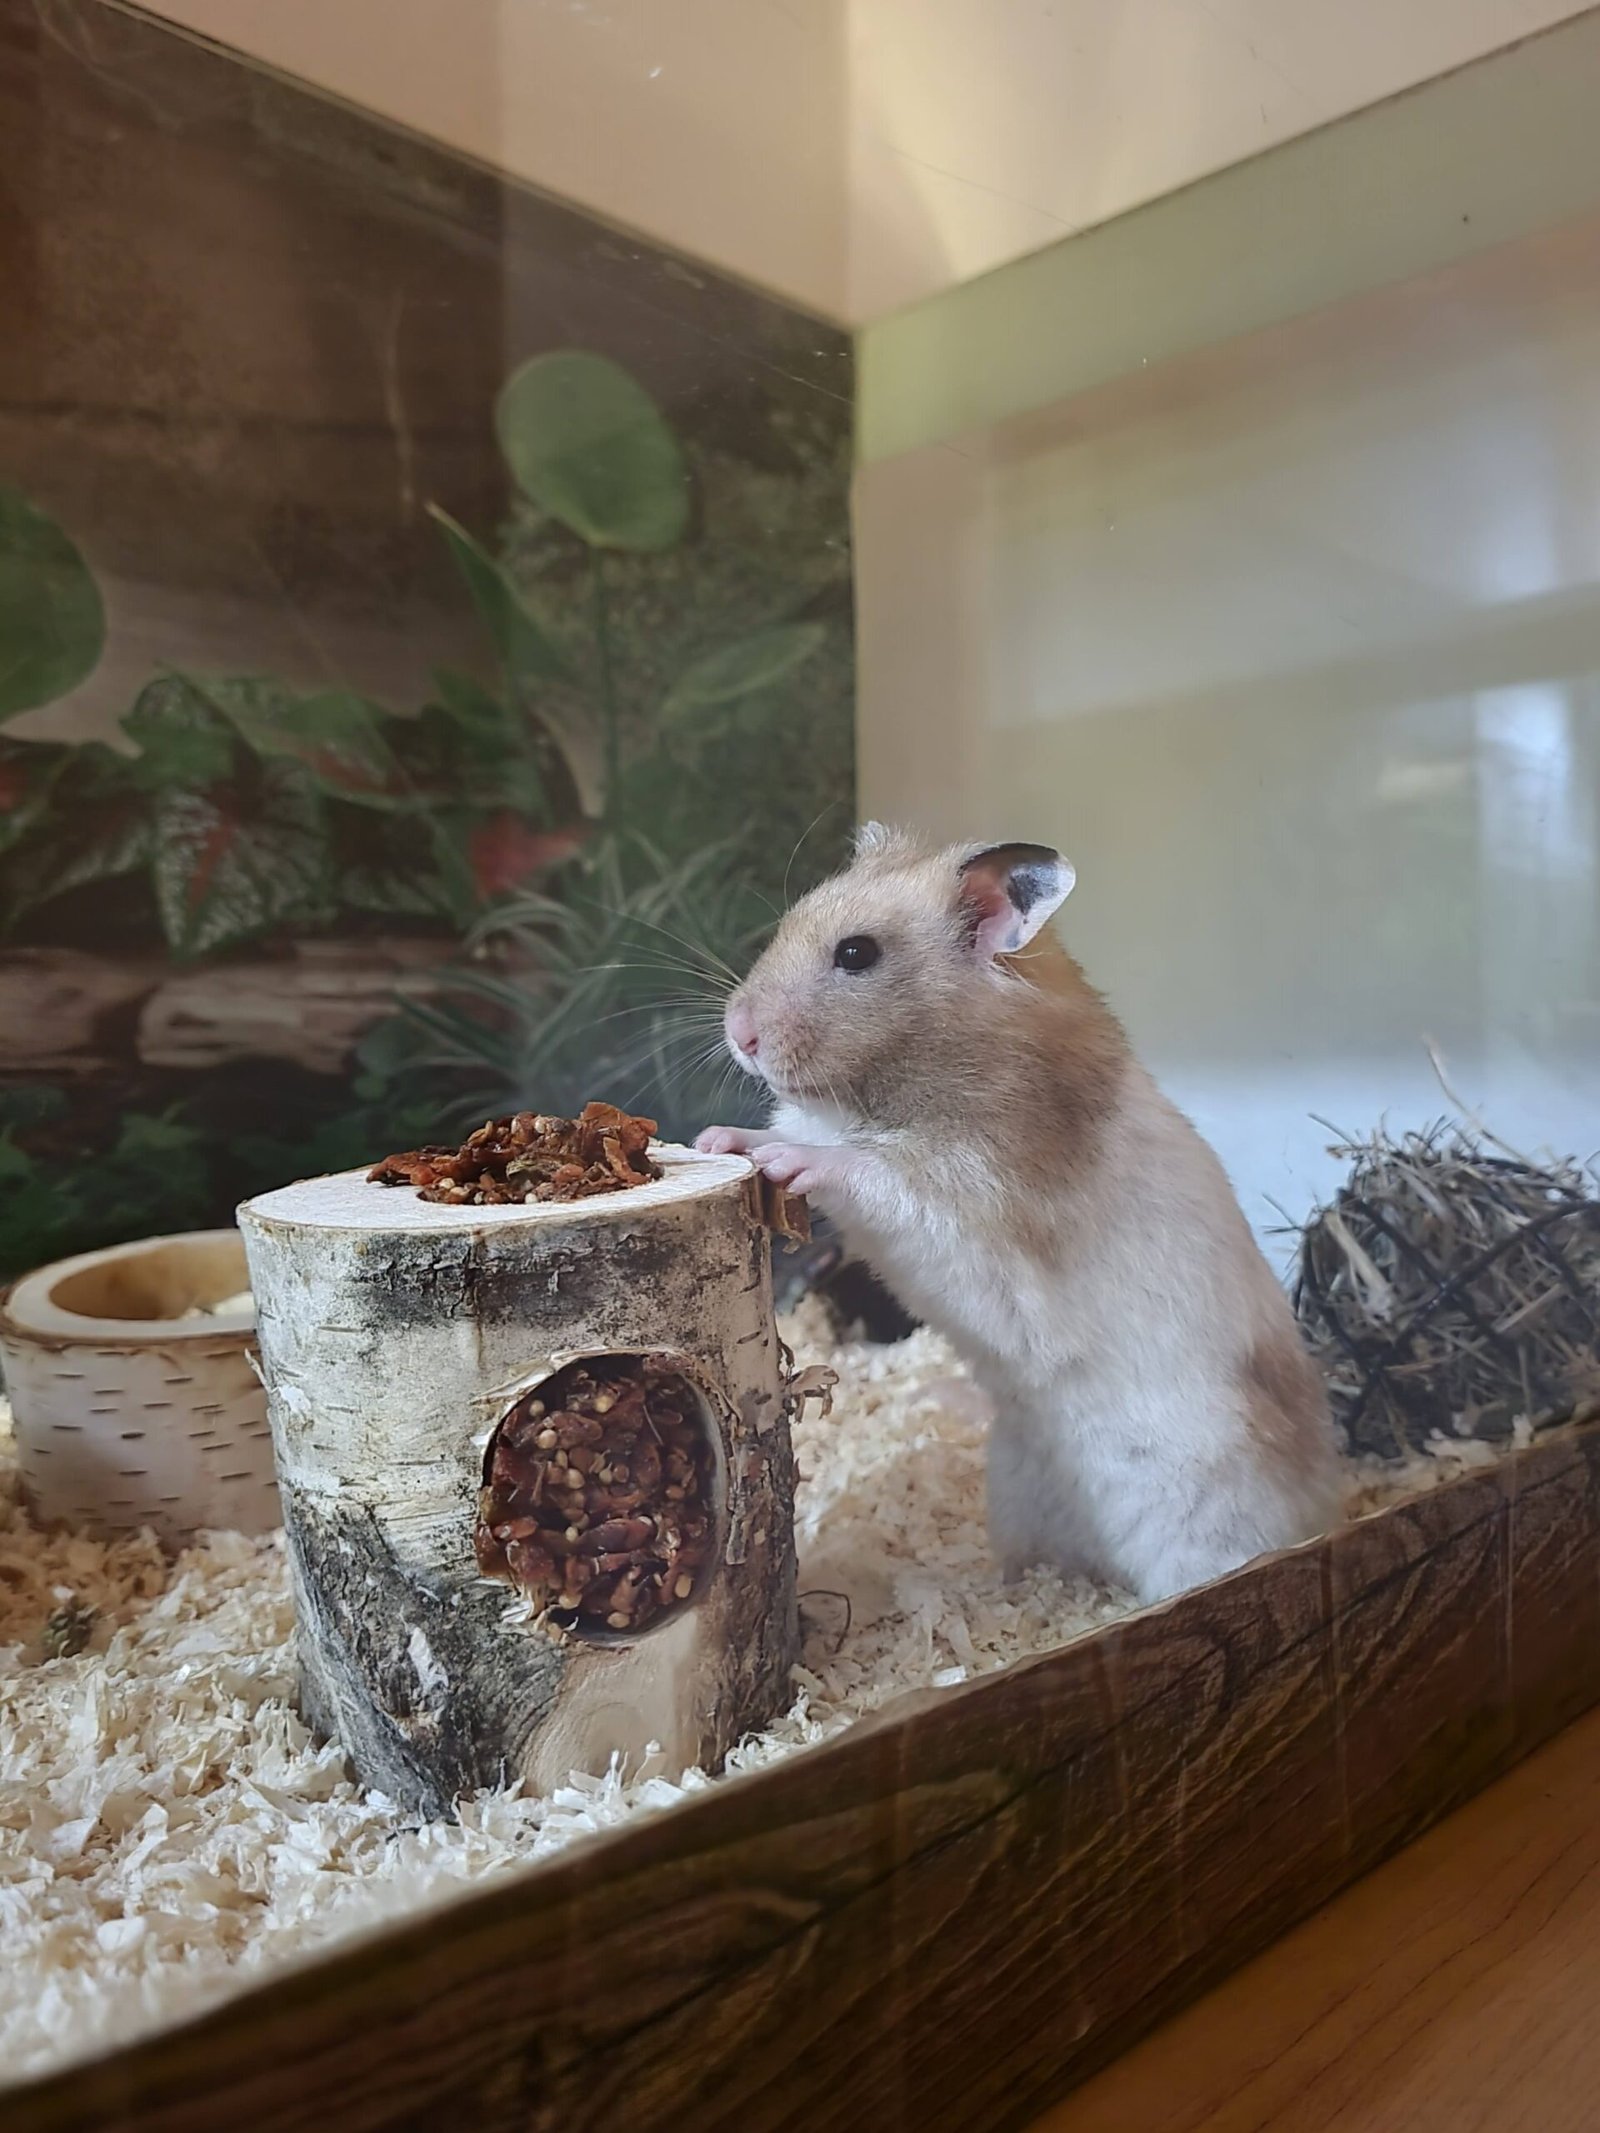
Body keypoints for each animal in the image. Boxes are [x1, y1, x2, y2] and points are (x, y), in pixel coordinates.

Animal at [697, 823, 1342, 1606]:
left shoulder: (972, 1201)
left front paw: (788, 1157)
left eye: (856, 954)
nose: (738, 1032)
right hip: (1017, 1488)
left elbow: (866, 1170)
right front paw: (715, 1141)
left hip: (1206, 1522)